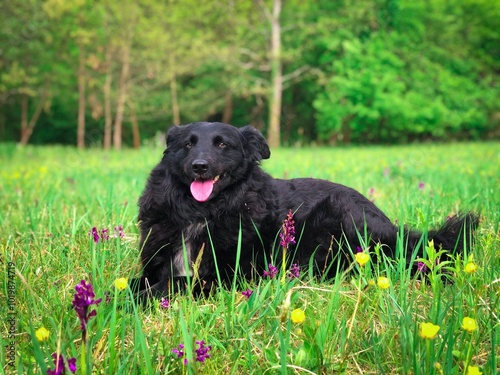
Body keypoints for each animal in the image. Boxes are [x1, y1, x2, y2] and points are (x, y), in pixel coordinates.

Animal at [135, 122, 478, 298]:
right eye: (188, 144)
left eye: (222, 145)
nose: (199, 166)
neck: (201, 213)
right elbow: (139, 281)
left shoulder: (230, 275)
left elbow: (175, 282)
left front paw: (131, 301)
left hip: (344, 218)